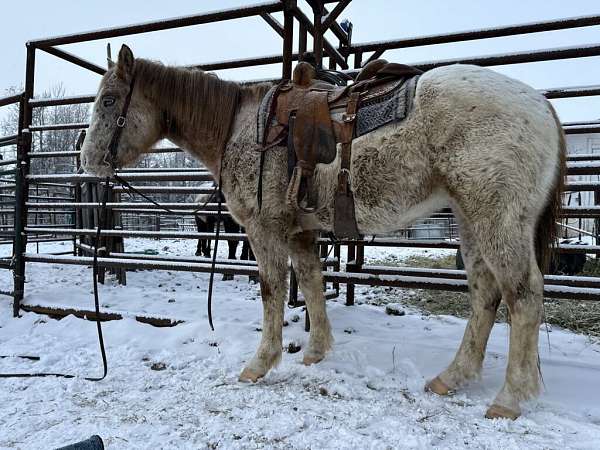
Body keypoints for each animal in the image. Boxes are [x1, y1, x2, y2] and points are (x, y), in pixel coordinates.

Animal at [82, 45, 564, 418]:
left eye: (108, 101)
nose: (87, 161)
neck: (239, 129)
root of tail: (541, 106)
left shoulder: (265, 230)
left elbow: (273, 290)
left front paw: (260, 363)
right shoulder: (300, 232)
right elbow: (312, 283)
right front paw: (315, 352)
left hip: (496, 217)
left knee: (522, 294)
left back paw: (508, 399)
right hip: (469, 217)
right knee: (485, 291)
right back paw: (452, 377)